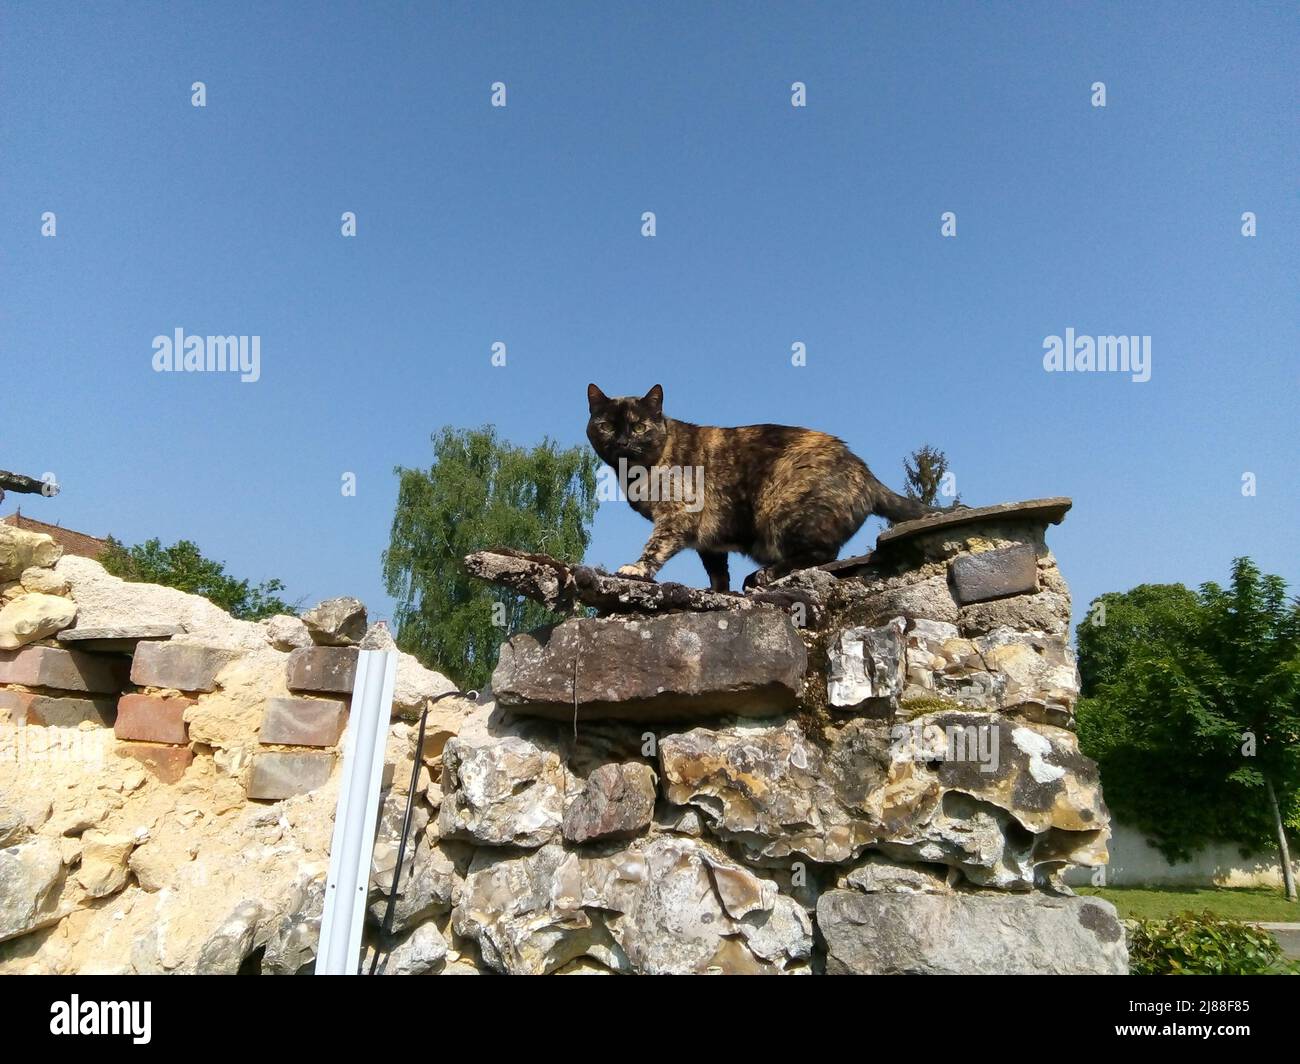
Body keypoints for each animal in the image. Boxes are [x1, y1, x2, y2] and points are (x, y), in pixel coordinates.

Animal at [587, 385, 935, 593]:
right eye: (606, 426)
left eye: (638, 426)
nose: (622, 441)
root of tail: (865, 471)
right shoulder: (708, 536)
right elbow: (716, 568)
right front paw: (717, 592)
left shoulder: (678, 513)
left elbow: (656, 545)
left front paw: (637, 569)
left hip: (781, 507)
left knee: (823, 553)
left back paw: (764, 574)